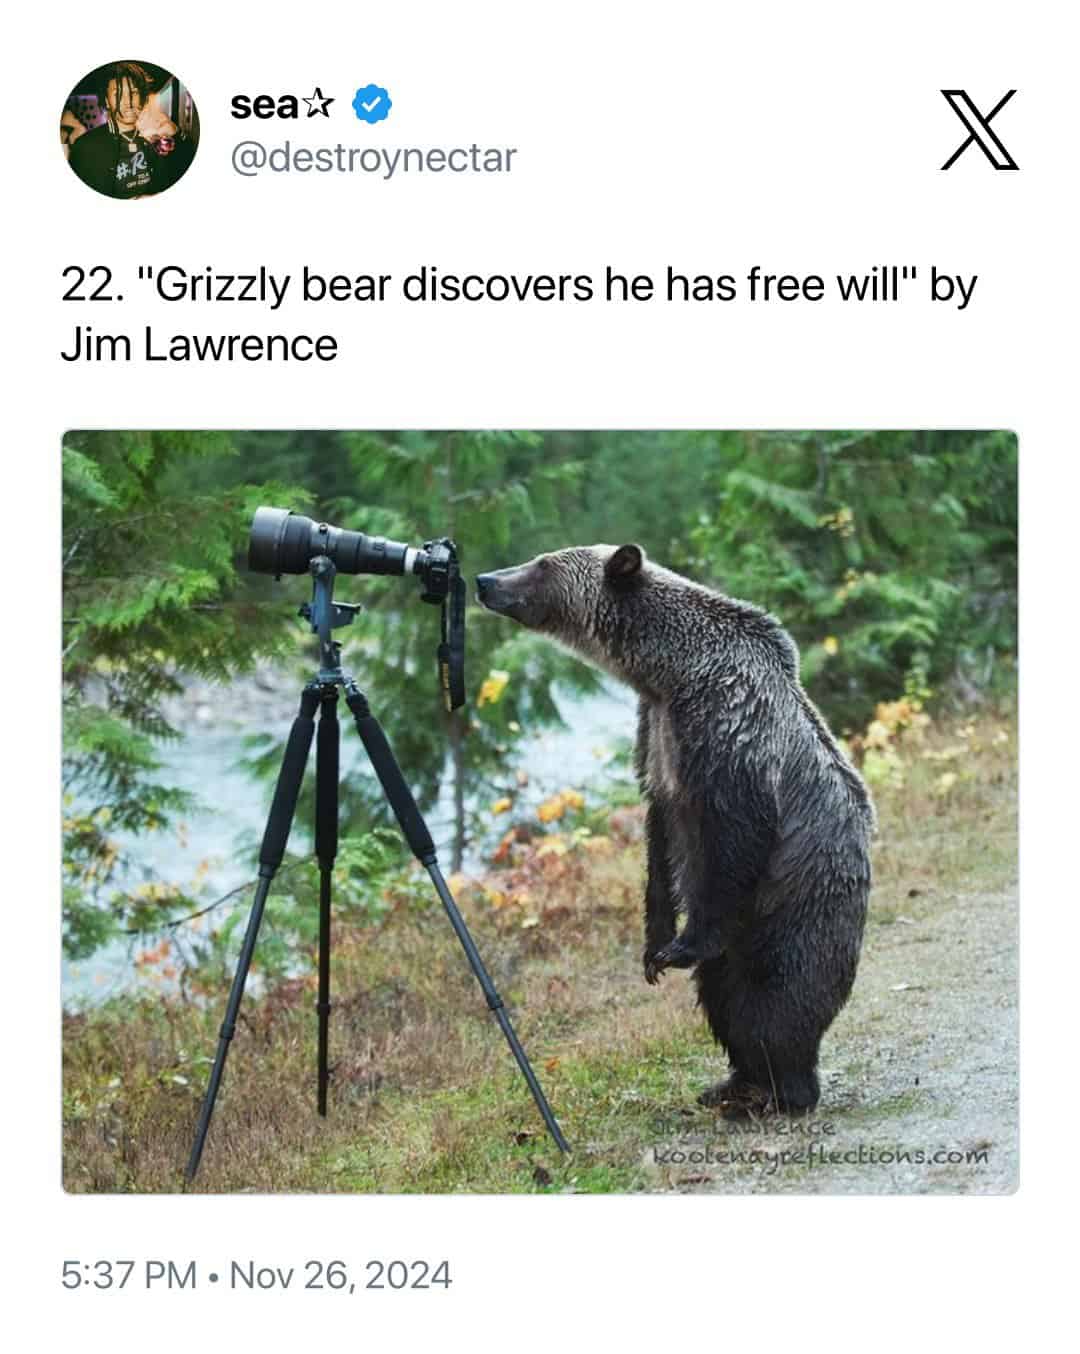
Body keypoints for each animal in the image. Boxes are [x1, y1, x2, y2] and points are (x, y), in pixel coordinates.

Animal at [476, 543, 875, 1115]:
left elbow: (734, 836)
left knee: (775, 997)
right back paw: (735, 1083)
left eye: (543, 564)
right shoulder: (656, 737)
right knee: (723, 996)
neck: (669, 674)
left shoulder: (727, 731)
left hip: (794, 907)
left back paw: (783, 1088)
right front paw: (654, 948)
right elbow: (660, 839)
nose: (485, 580)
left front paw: (680, 946)